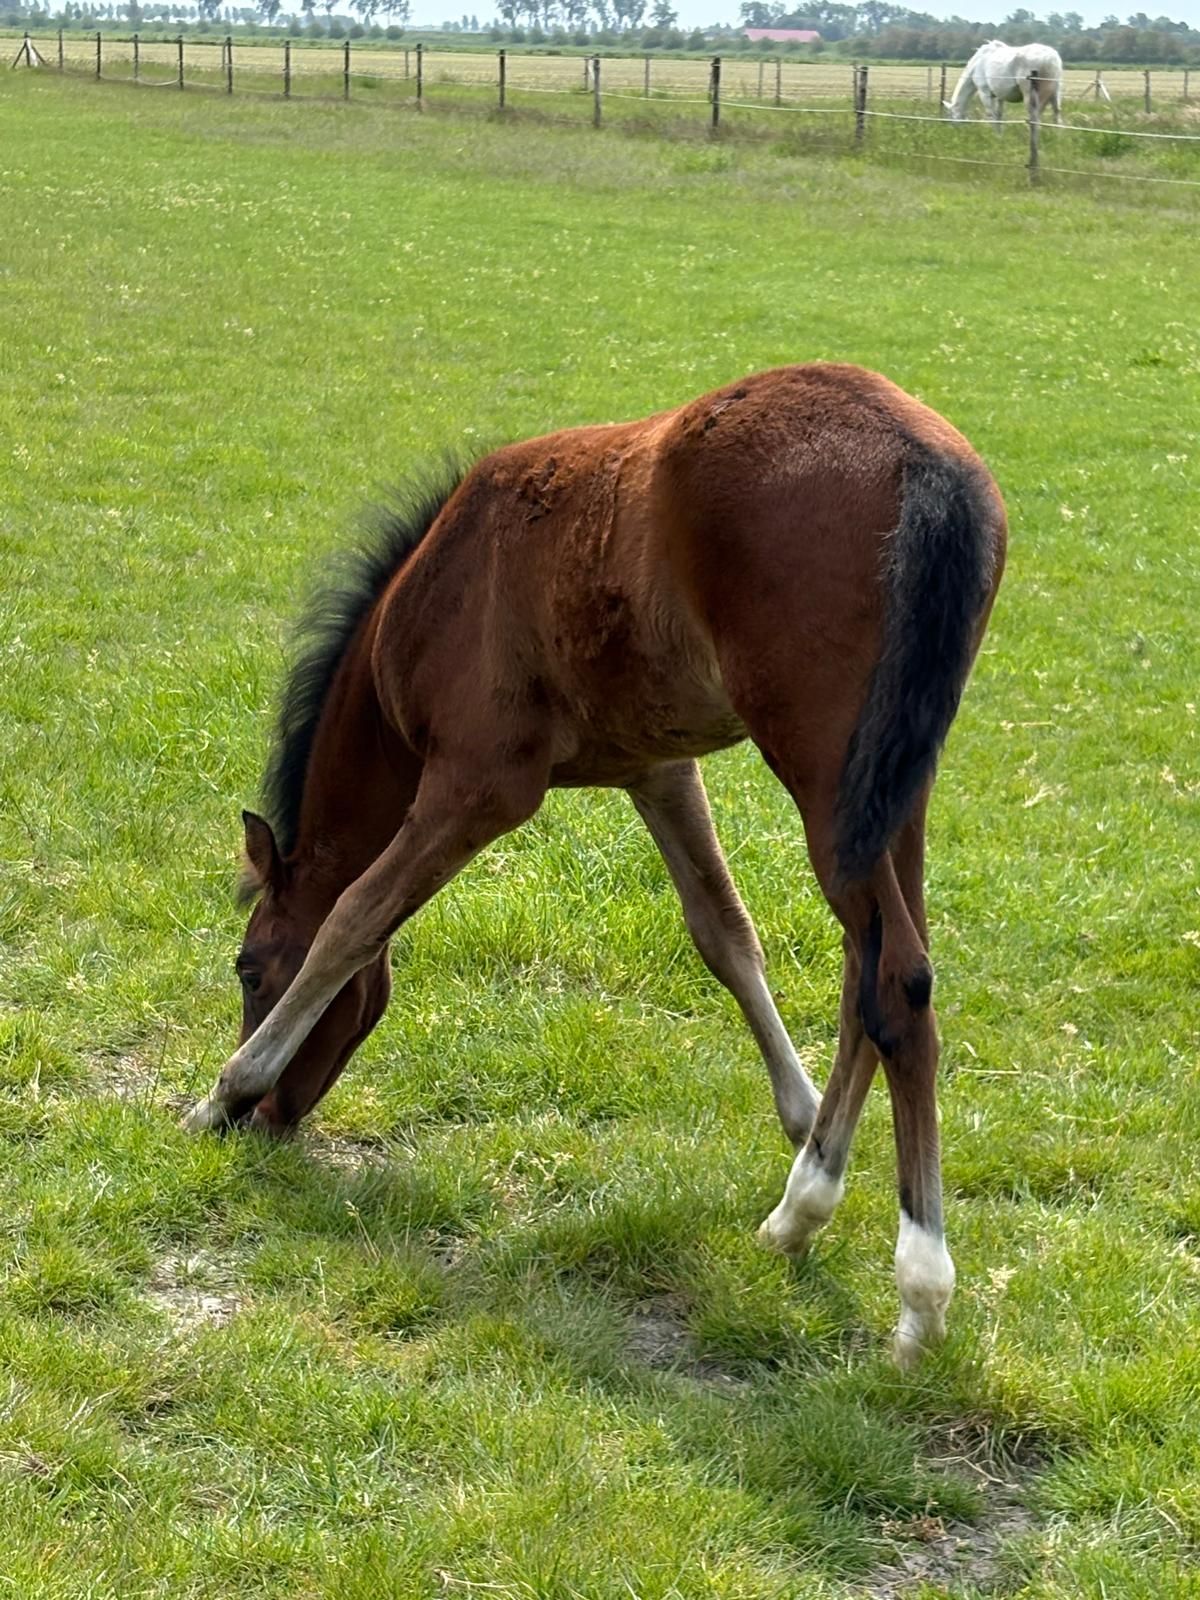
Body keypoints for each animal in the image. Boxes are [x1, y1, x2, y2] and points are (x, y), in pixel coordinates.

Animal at [183, 363, 1007, 1366]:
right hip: (890, 787)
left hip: (821, 770)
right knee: (873, 975)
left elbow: (354, 918)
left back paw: (918, 1291)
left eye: (249, 969)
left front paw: (225, 1091)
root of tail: (925, 461)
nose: (271, 1125)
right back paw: (800, 1210)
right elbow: (724, 935)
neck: (435, 595)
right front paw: (799, 1116)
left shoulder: (478, 787)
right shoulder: (657, 771)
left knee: (895, 983)